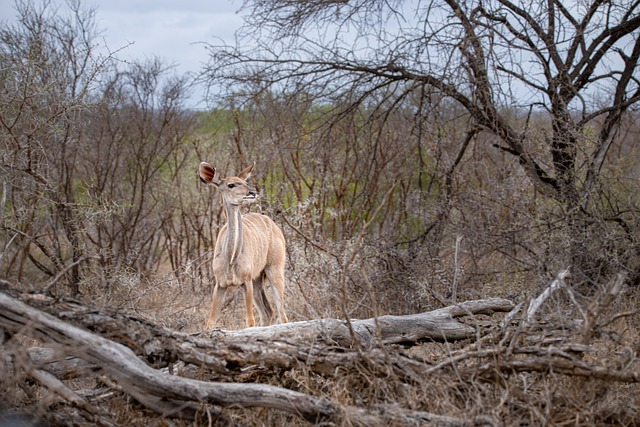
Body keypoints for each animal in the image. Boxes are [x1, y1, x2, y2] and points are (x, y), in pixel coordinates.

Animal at [199, 162, 288, 330]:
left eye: (245, 183)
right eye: (231, 184)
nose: (252, 193)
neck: (231, 257)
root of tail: (273, 225)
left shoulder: (245, 281)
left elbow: (250, 321)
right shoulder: (220, 284)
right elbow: (210, 322)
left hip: (274, 270)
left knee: (281, 315)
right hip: (257, 279)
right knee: (268, 312)